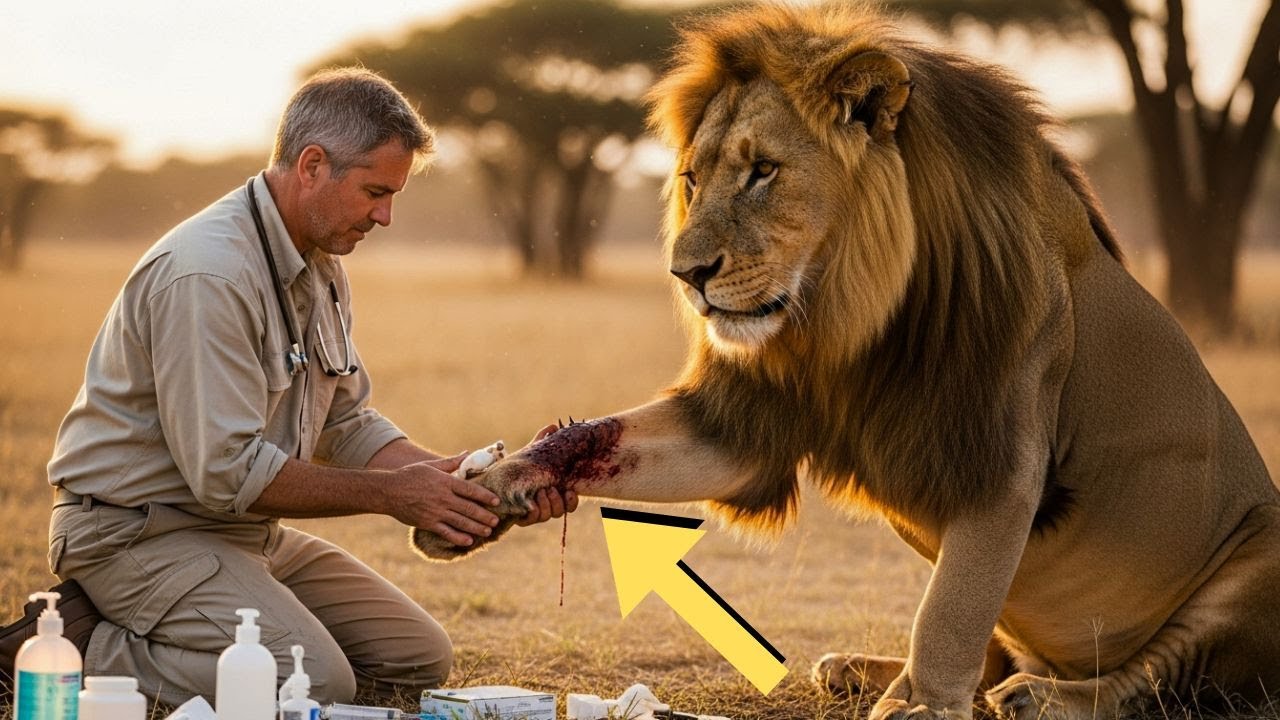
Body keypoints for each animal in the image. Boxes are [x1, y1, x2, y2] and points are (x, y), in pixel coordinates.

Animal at [411, 4, 1280, 718]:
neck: (841, 318)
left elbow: (954, 603)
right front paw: (493, 489)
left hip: (1255, 555)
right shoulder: (748, 418)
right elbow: (608, 438)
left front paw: (922, 706)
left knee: (1148, 678)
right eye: (691, 179)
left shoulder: (1000, 447)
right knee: (1005, 650)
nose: (686, 275)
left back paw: (1040, 696)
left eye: (763, 171)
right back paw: (861, 669)